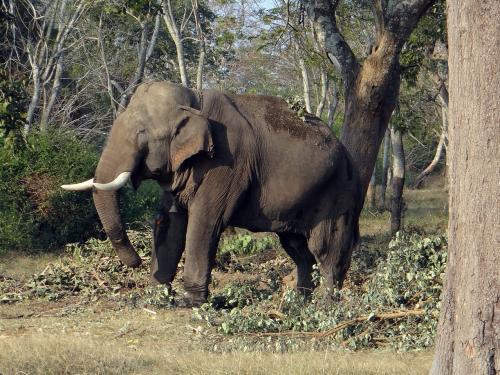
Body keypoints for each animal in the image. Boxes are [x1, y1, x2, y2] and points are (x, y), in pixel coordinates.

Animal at [62, 81, 362, 306]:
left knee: (326, 248)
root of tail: (349, 156)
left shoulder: (227, 162)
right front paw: (155, 296)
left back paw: (326, 304)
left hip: (339, 194)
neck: (196, 100)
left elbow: (204, 221)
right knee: (298, 249)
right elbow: (170, 221)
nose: (135, 262)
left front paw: (189, 303)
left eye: (142, 134)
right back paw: (298, 302)